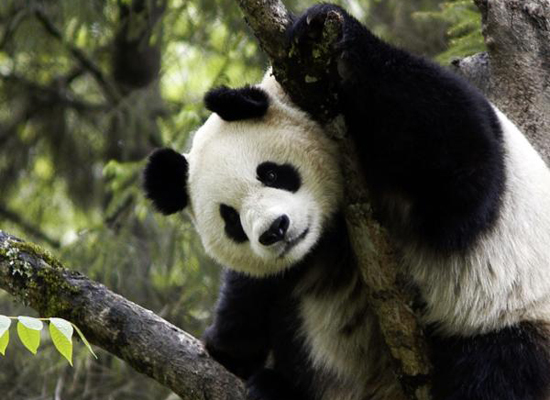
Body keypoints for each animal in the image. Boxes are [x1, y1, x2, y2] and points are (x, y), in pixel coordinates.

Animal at [143, 3, 550, 400]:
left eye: (271, 173)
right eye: (231, 220)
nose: (275, 230)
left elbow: (463, 174)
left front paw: (317, 28)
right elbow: (252, 290)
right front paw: (226, 347)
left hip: (512, 318)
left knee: (495, 371)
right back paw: (276, 389)